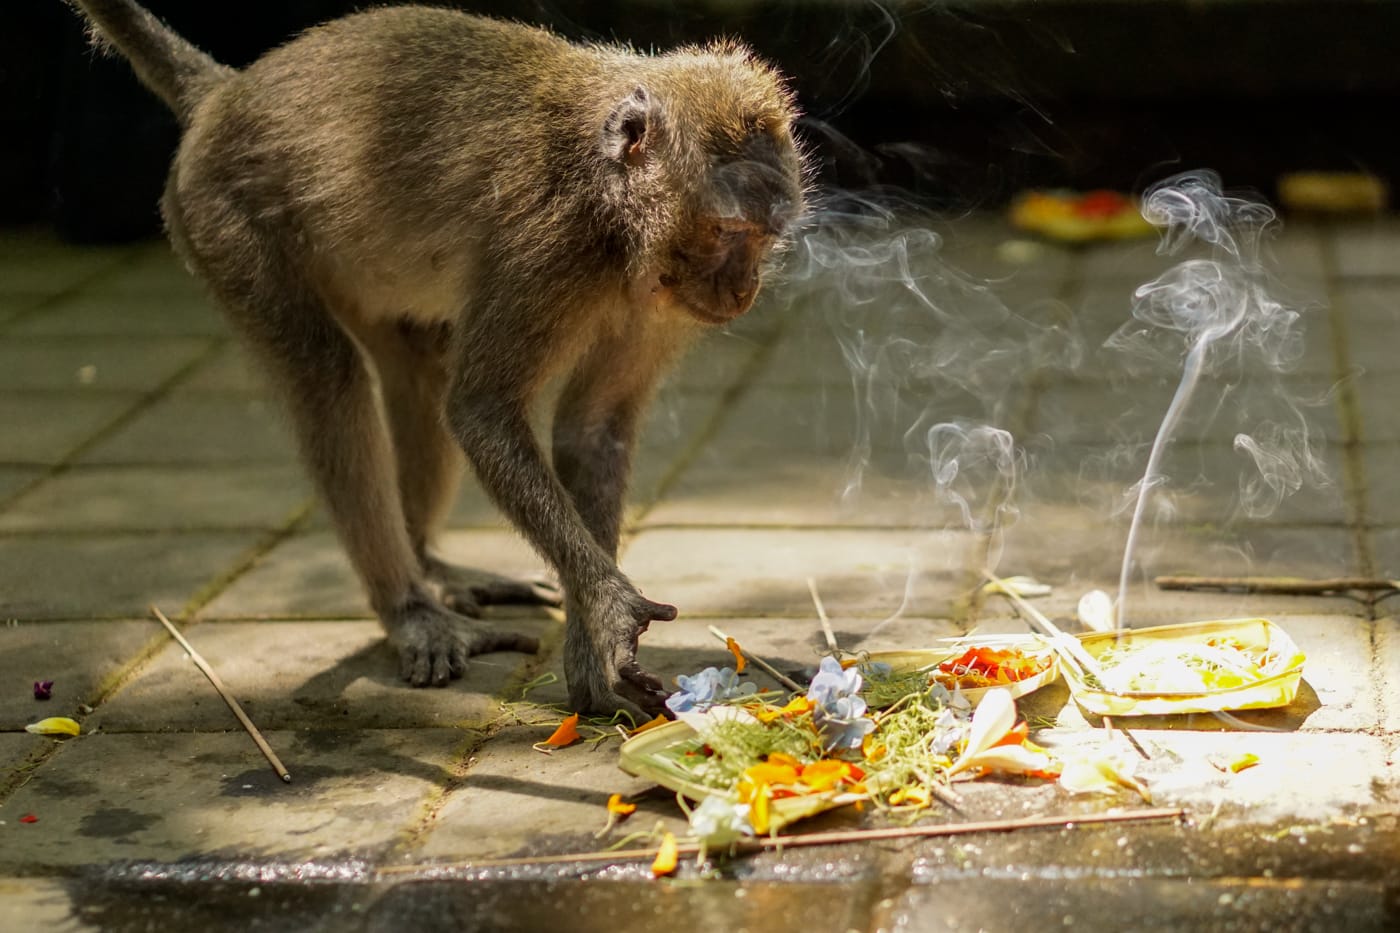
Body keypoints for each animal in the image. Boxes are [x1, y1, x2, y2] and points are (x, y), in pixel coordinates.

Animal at [65, 1, 807, 718]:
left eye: (764, 238)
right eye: (728, 231)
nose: (743, 289)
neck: (610, 213)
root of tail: (227, 94)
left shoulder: (660, 302)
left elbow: (591, 429)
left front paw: (590, 655)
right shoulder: (542, 242)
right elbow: (481, 411)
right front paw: (610, 608)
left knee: (418, 364)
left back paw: (431, 565)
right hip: (221, 216)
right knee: (327, 378)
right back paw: (408, 606)